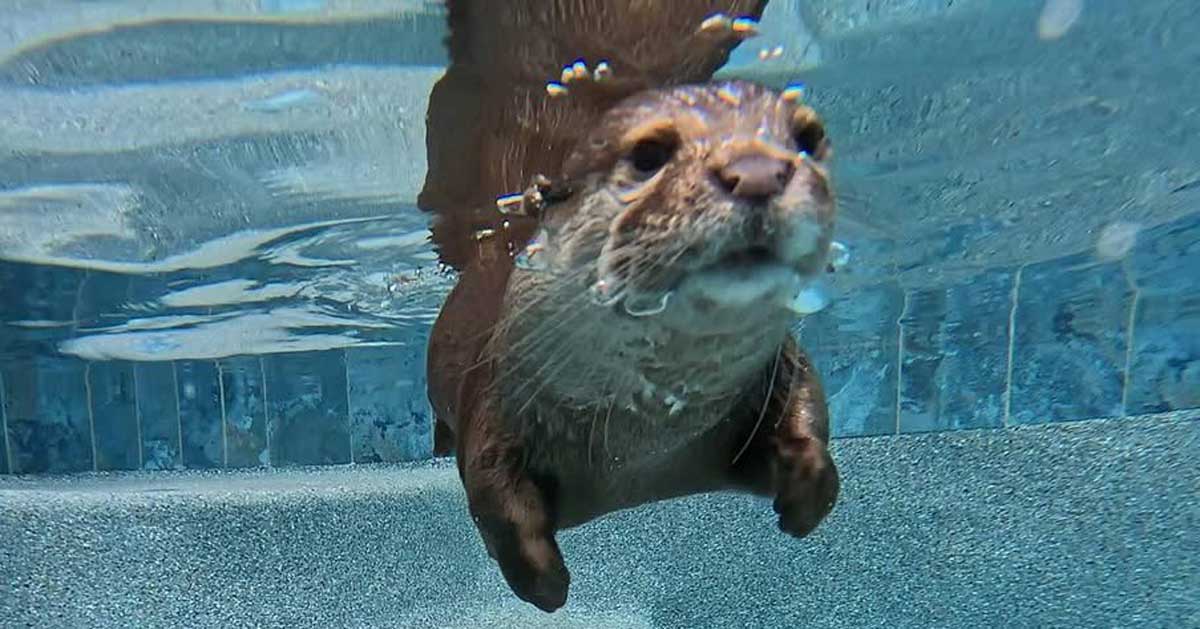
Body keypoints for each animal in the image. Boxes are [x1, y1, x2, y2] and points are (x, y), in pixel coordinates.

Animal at [419, 1, 839, 613]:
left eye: (808, 138)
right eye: (648, 154)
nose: (758, 171)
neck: (640, 444)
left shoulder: (772, 374)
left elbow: (809, 410)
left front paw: (808, 494)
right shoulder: (495, 394)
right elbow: (494, 497)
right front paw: (547, 587)